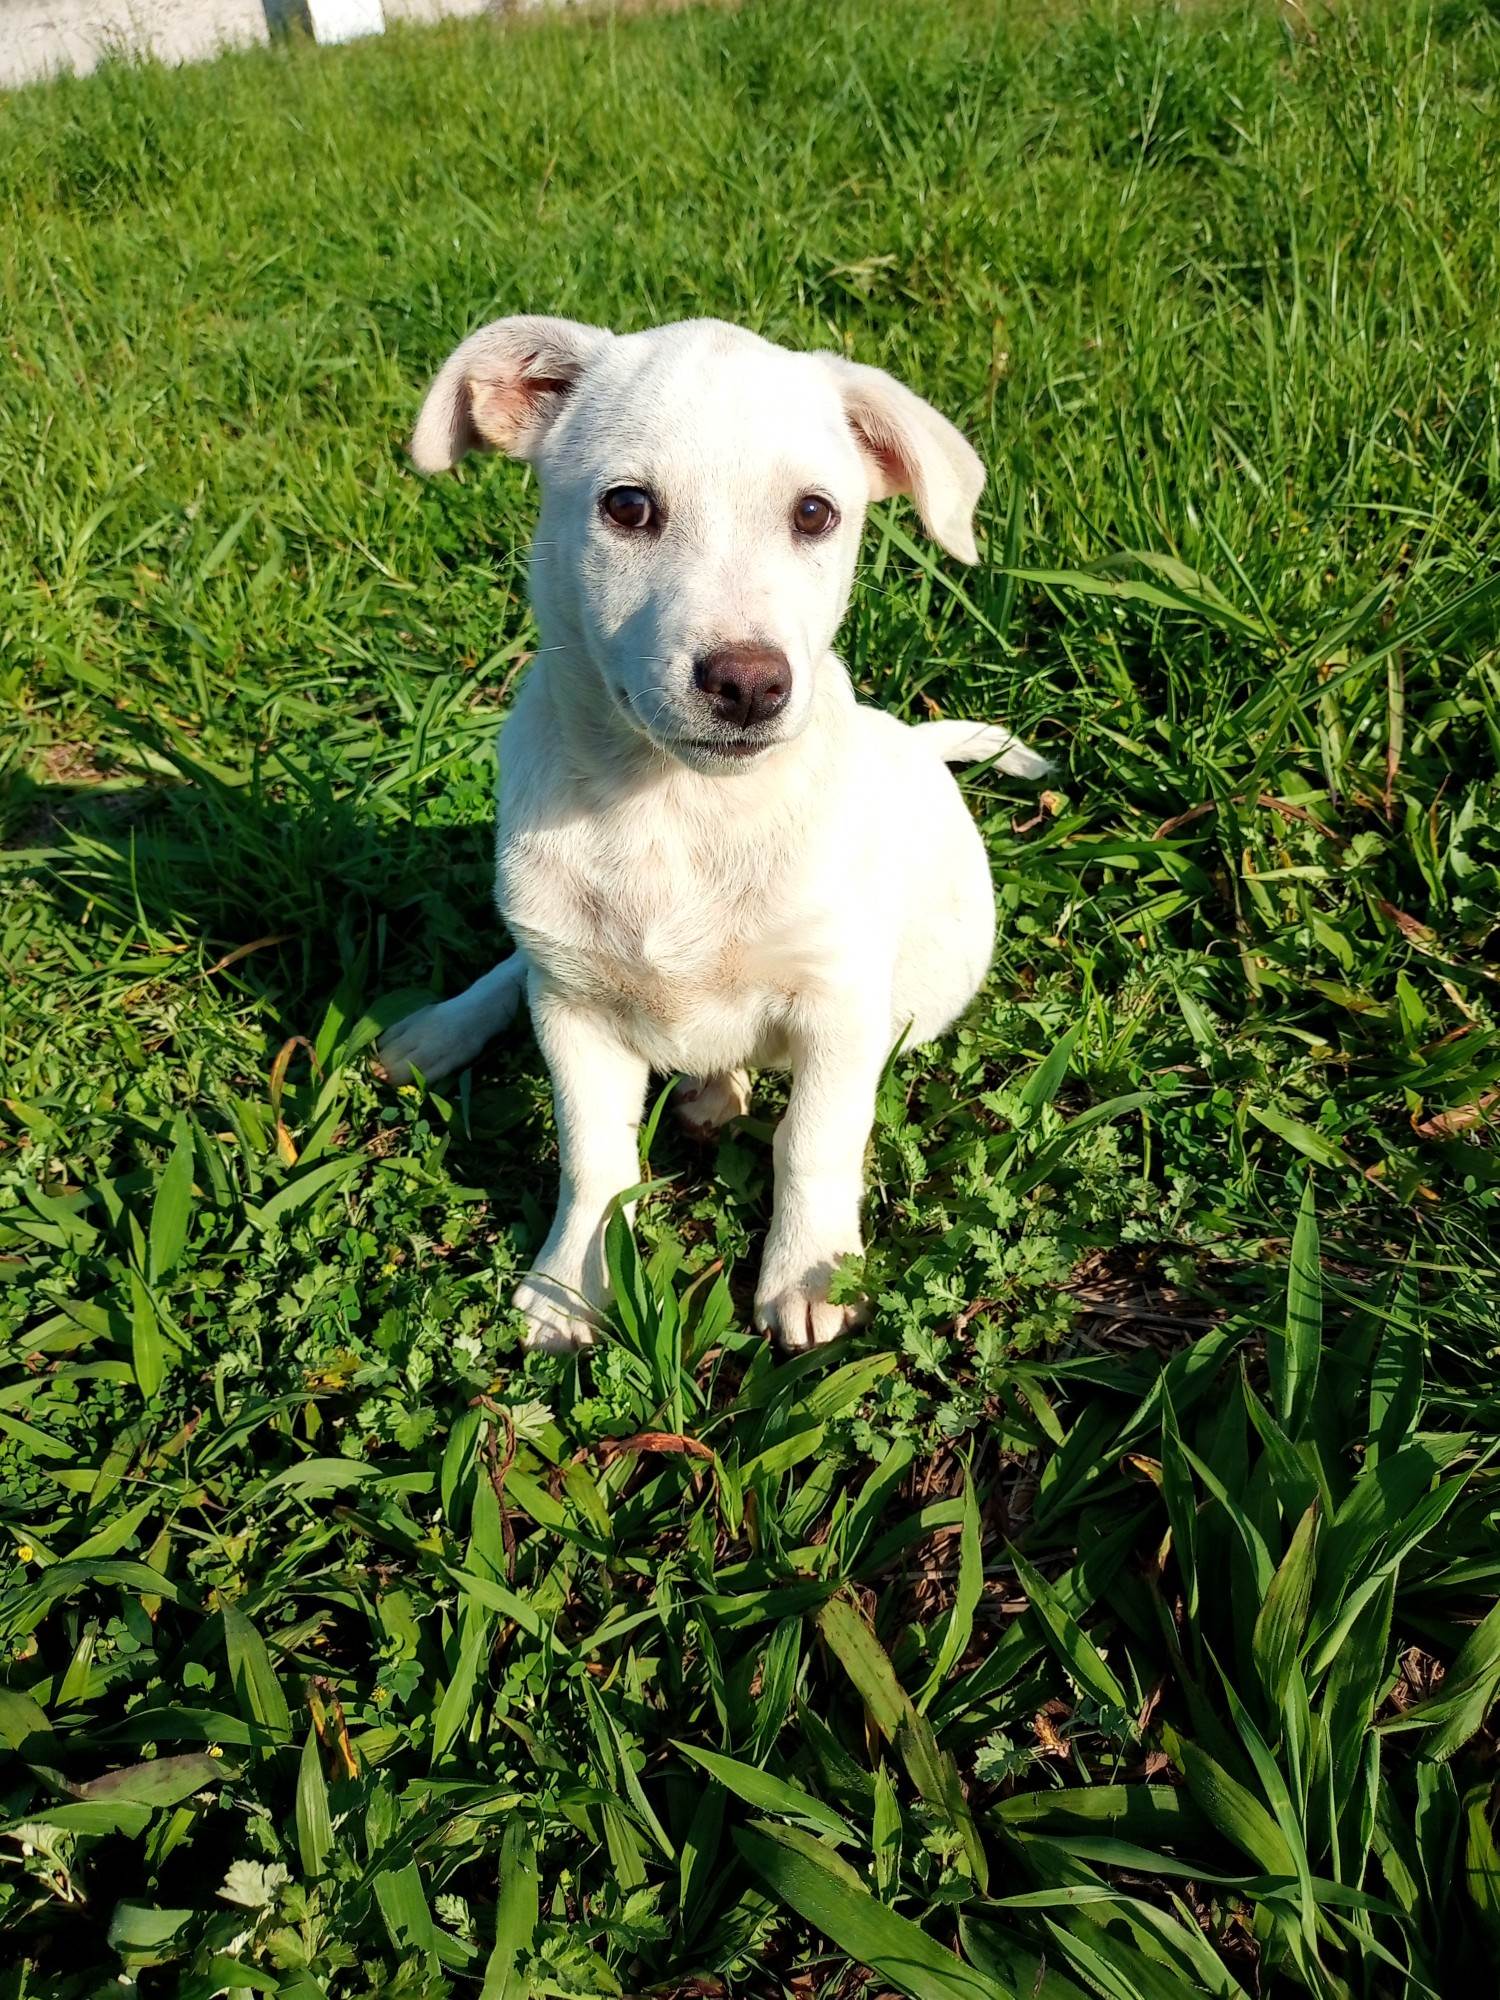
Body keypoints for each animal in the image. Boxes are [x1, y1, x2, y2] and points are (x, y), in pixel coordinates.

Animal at [382, 316, 1048, 1344]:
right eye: (627, 505)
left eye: (815, 514)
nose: (748, 684)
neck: (677, 809)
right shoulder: (574, 1016)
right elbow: (593, 1156)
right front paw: (570, 1280)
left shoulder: (839, 1007)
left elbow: (812, 1140)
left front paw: (812, 1272)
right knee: (517, 969)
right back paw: (443, 1029)